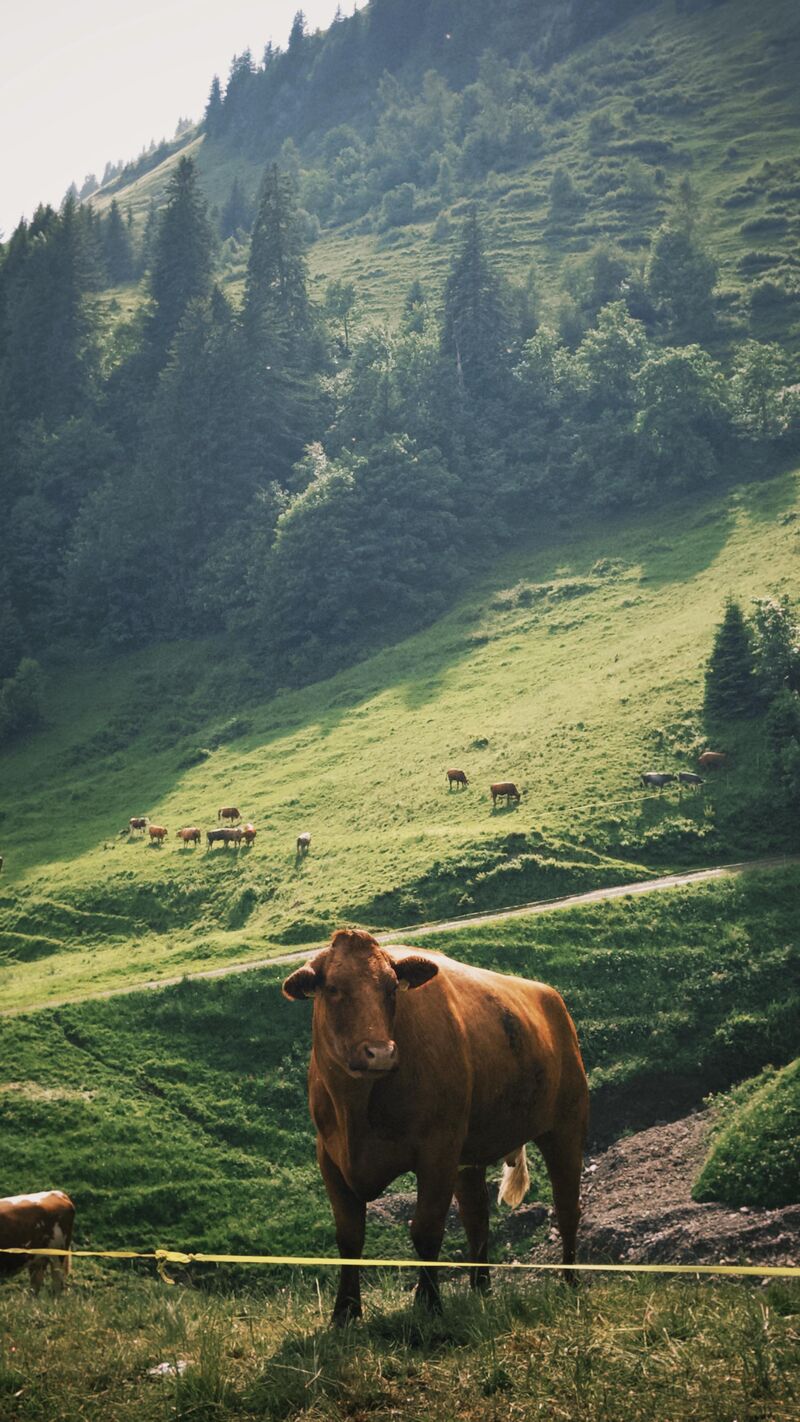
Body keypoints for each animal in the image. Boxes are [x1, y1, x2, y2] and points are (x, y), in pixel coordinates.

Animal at [283, 928, 588, 1325]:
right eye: (333, 988)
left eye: (391, 988)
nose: (379, 1052)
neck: (357, 1111)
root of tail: (550, 996)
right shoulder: (330, 1158)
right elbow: (349, 1237)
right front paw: (344, 1313)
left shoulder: (437, 1150)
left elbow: (426, 1230)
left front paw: (429, 1304)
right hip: (469, 1156)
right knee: (477, 1217)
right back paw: (480, 1290)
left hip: (566, 1126)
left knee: (567, 1207)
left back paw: (570, 1282)